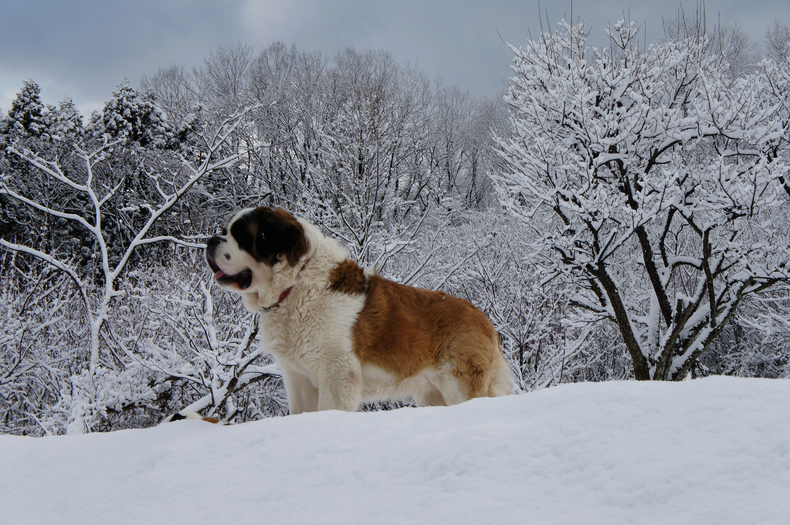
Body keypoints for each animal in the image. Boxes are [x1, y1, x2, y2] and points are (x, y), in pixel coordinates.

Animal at [204, 205, 512, 414]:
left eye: (240, 236)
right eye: (225, 232)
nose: (211, 241)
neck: (296, 285)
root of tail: (483, 318)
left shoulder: (336, 372)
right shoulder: (297, 377)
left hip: (460, 385)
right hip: (431, 395)